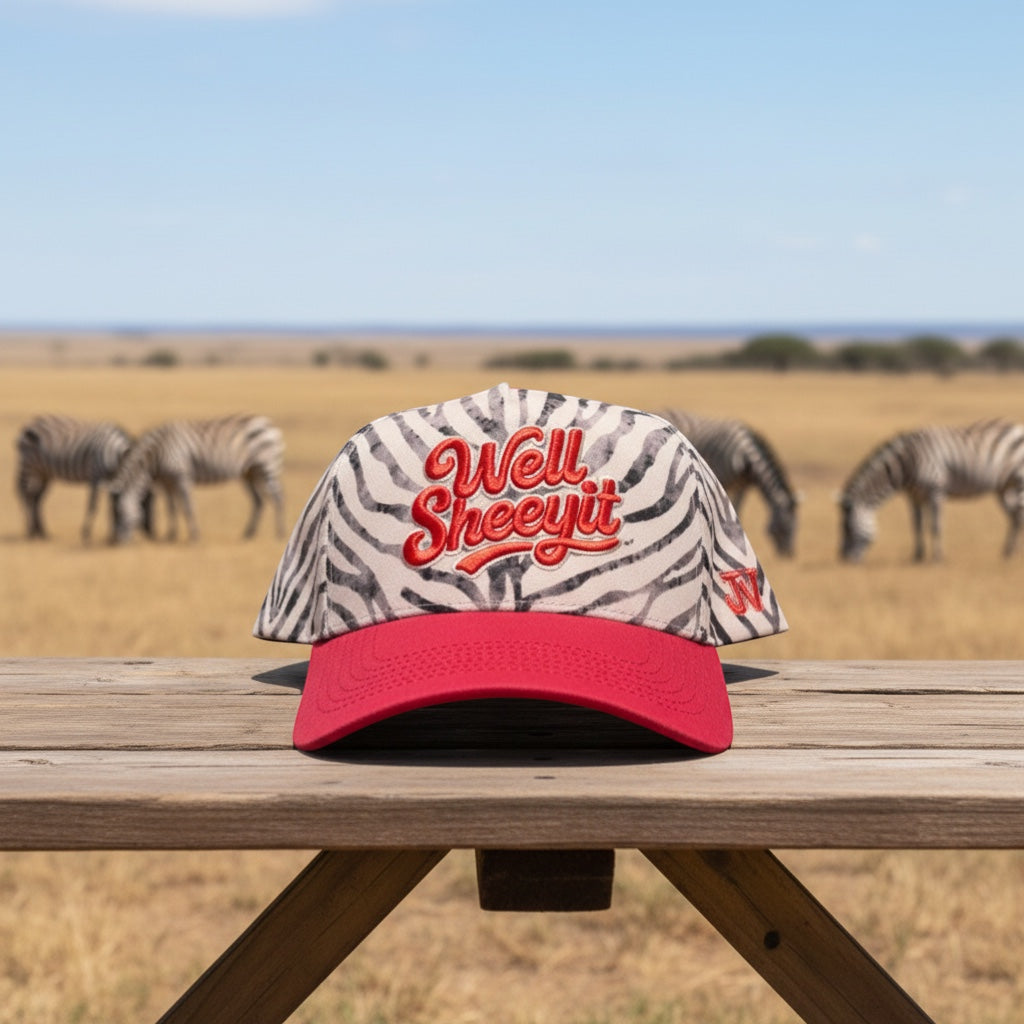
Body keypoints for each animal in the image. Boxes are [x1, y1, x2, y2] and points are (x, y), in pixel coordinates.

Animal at [109, 414, 286, 543]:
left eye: (118, 513)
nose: (118, 542)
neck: (155, 454)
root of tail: (269, 424)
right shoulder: (167, 482)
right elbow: (171, 508)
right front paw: (171, 535)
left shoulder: (181, 477)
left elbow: (187, 507)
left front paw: (194, 536)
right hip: (250, 472)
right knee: (259, 500)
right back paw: (249, 533)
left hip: (267, 466)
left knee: (278, 498)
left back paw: (280, 532)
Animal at [662, 408, 799, 557]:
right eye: (784, 527)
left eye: (797, 526)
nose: (789, 555)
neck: (747, 458)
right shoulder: (721, 478)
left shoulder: (742, 485)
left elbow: (737, 509)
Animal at [839, 419, 1024, 562]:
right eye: (842, 528)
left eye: (848, 528)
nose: (843, 559)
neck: (908, 462)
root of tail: (1017, 427)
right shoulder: (914, 496)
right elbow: (917, 526)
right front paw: (917, 556)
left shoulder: (936, 492)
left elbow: (936, 526)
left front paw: (937, 558)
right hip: (1004, 488)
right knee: (1015, 517)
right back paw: (1009, 552)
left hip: (1019, 482)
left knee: (1019, 515)